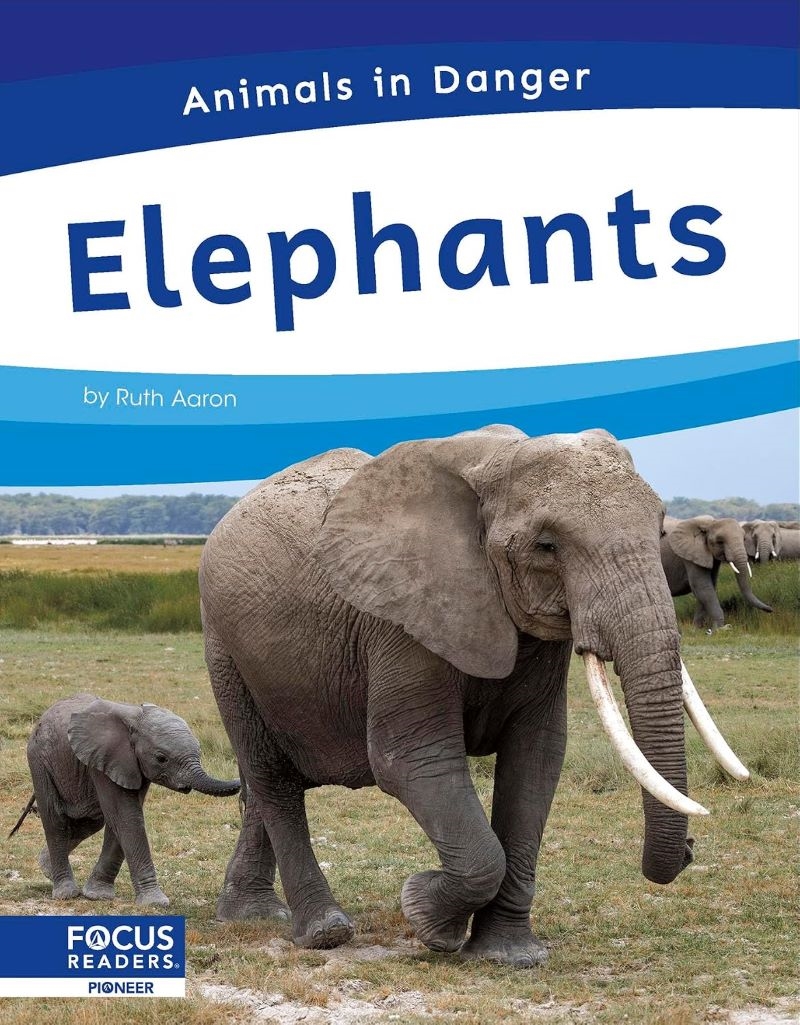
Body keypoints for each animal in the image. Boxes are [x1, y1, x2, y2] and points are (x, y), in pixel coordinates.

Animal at [10, 693, 240, 905]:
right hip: (39, 758)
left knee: (90, 821)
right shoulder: (106, 758)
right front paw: (155, 902)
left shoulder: (130, 765)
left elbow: (121, 819)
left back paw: (45, 868)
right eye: (161, 758)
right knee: (55, 820)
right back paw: (65, 893)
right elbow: (126, 817)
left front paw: (98, 895)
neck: (136, 716)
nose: (241, 781)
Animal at [200, 426, 747, 967]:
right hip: (225, 648)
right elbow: (412, 760)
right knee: (272, 778)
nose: (690, 848)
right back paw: (324, 932)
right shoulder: (404, 617)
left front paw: (509, 956)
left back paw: (253, 914)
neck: (495, 464)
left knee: (267, 783)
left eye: (659, 529)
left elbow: (537, 757)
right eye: (546, 546)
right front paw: (426, 916)